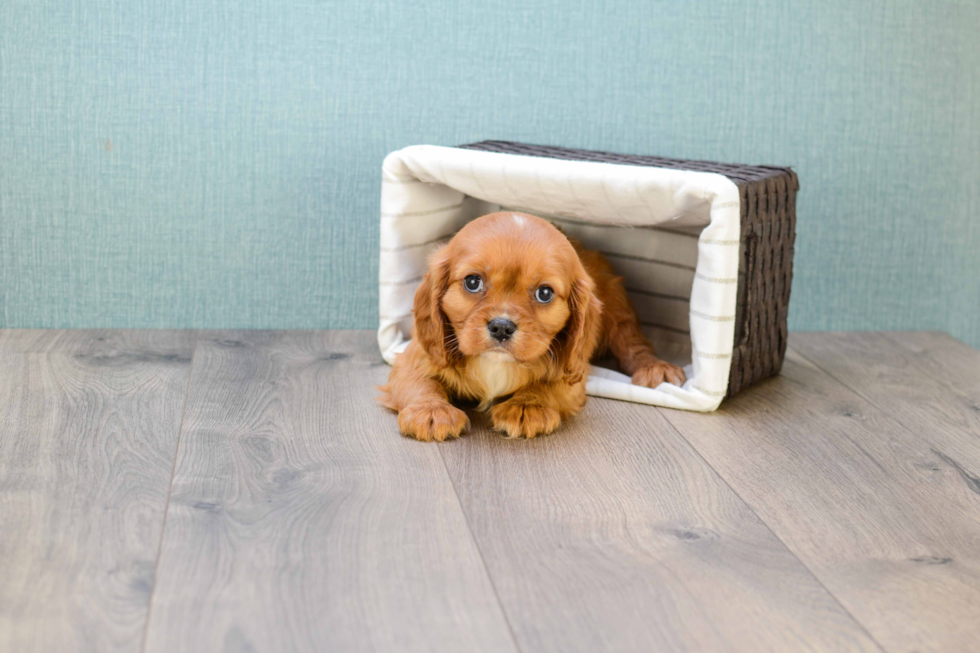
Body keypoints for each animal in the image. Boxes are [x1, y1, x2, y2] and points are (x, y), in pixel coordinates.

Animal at [378, 211, 684, 440]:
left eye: (544, 293)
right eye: (472, 282)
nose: (501, 327)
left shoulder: (574, 372)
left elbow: (550, 385)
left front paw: (527, 406)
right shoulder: (415, 357)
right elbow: (420, 382)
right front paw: (431, 411)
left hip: (617, 308)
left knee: (632, 341)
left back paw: (655, 367)